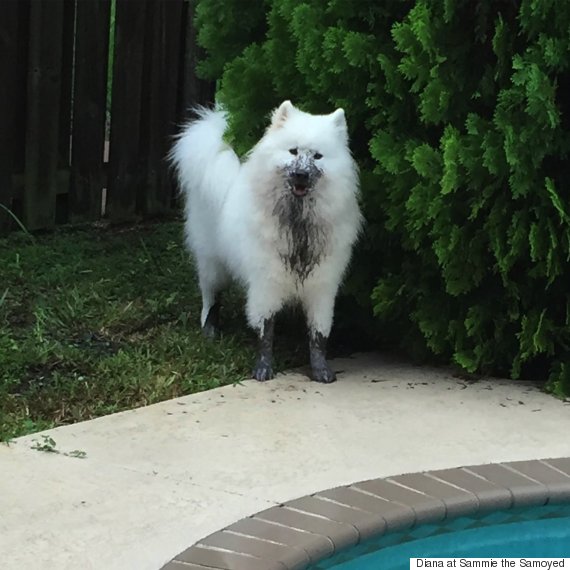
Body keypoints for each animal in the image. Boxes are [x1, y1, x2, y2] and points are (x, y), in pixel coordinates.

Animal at [170, 100, 360, 382]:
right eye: (293, 151)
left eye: (317, 156)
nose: (301, 174)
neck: (298, 224)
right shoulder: (265, 286)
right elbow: (265, 330)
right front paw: (263, 368)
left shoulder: (322, 289)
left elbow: (319, 335)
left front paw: (320, 370)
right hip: (212, 263)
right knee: (210, 295)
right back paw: (210, 328)